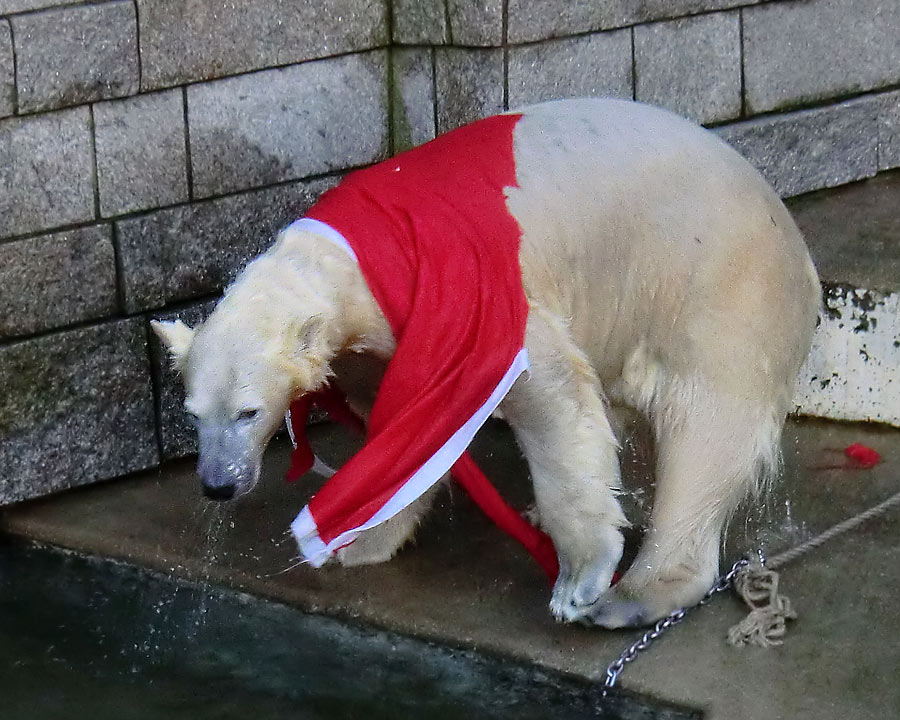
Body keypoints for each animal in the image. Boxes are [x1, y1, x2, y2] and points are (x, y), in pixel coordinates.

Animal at [155, 98, 824, 628]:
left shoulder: (469, 293)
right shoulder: (379, 342)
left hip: (720, 284)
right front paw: (365, 539)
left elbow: (545, 387)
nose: (217, 484)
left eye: (248, 411)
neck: (352, 253)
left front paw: (580, 578)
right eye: (193, 414)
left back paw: (635, 594)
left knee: (707, 425)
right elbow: (409, 425)